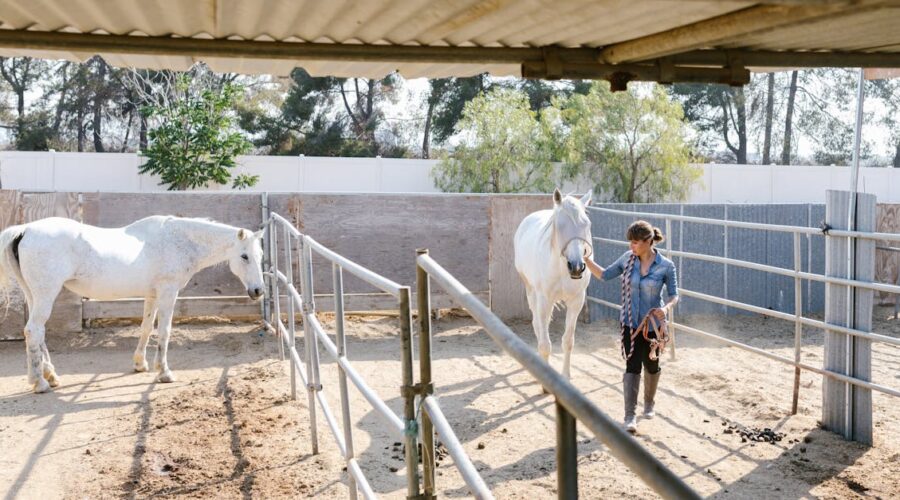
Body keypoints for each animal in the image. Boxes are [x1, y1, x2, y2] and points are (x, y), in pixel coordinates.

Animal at [0, 215, 265, 393]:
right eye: (244, 256)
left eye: (260, 256)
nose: (258, 291)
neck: (177, 241)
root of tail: (24, 230)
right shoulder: (168, 292)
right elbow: (165, 331)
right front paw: (165, 372)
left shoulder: (152, 295)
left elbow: (146, 328)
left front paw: (141, 364)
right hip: (46, 294)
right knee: (33, 330)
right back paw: (40, 382)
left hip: (34, 295)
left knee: (38, 332)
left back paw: (50, 375)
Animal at [514, 188, 592, 386]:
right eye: (560, 225)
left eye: (586, 224)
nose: (576, 266)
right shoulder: (544, 300)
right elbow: (545, 343)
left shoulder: (576, 301)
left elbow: (568, 341)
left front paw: (565, 376)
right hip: (531, 292)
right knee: (537, 325)